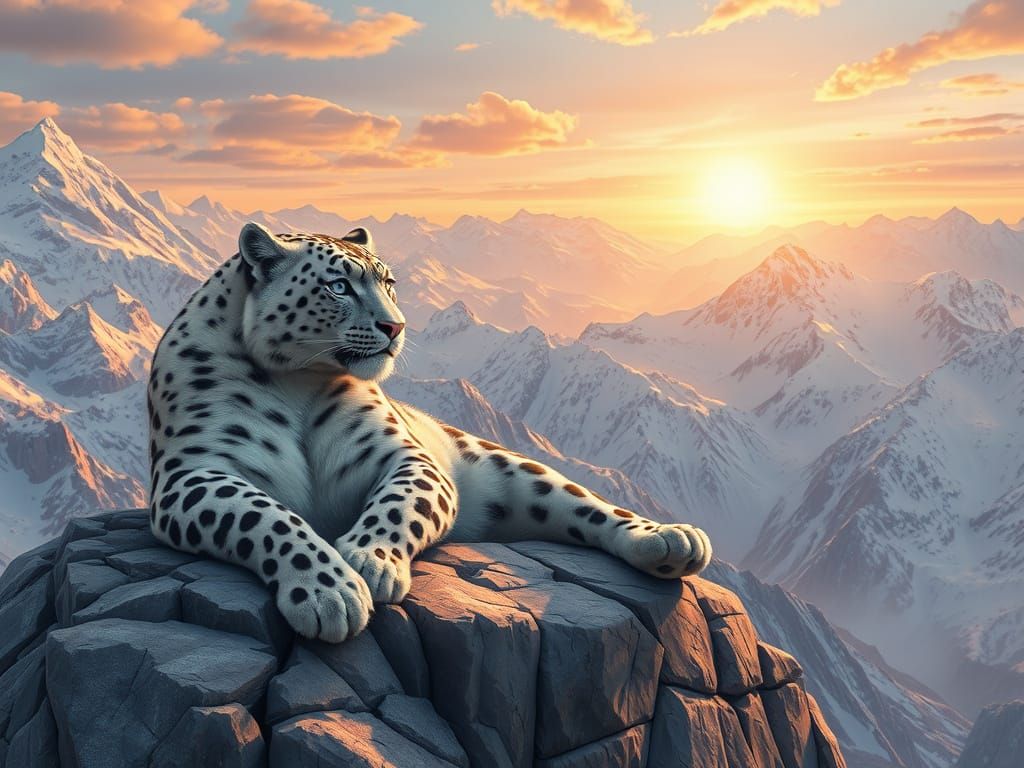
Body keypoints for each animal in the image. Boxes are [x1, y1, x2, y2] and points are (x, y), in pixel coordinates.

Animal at [147, 222, 712, 642]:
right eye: (338, 285)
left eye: (389, 283)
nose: (395, 326)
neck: (298, 382)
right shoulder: (192, 472)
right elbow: (264, 515)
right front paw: (329, 592)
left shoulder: (404, 456)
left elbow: (402, 500)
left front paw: (369, 561)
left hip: (506, 466)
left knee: (584, 505)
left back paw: (672, 540)